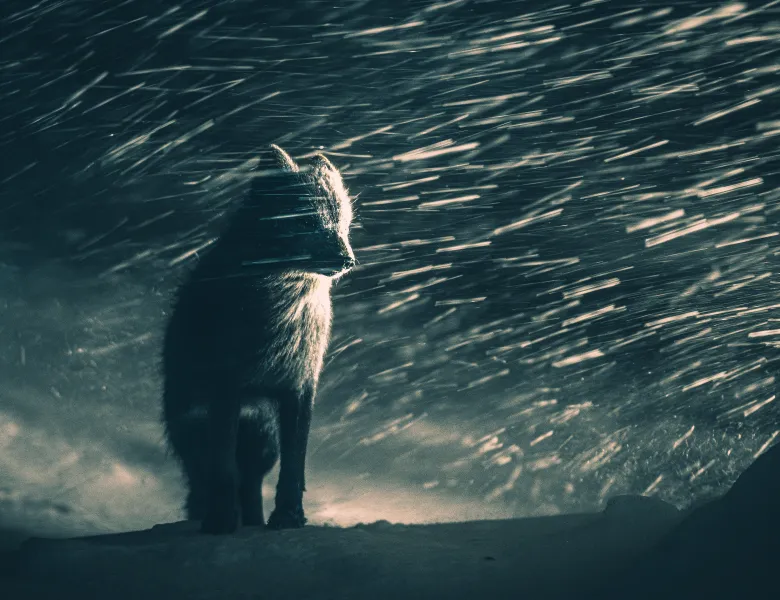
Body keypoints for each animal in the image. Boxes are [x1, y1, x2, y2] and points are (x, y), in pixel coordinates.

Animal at [161, 144, 356, 534]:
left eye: (343, 224)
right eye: (306, 222)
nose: (348, 260)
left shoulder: (300, 388)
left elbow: (294, 468)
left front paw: (288, 518)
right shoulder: (227, 387)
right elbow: (224, 471)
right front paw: (221, 523)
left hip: (263, 444)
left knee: (250, 485)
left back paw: (253, 522)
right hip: (197, 435)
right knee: (209, 479)